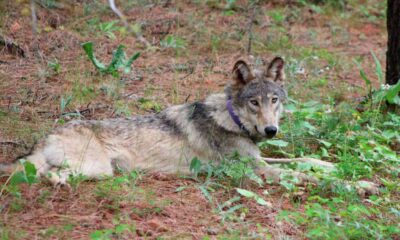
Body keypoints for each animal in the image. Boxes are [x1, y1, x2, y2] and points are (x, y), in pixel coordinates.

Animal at [0, 57, 378, 195]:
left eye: (274, 100)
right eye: (253, 103)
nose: (271, 131)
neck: (232, 120)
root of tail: (46, 135)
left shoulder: (259, 160)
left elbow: (304, 161)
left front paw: (333, 166)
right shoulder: (256, 171)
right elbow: (302, 175)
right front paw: (359, 185)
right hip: (97, 169)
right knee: (43, 174)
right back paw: (58, 184)